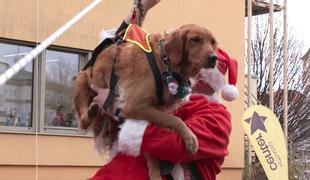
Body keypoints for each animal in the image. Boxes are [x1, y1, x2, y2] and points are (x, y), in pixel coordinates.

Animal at [74, 23, 217, 179]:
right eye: (195, 39)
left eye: (213, 42)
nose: (214, 57)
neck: (165, 64)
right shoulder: (135, 106)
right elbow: (175, 120)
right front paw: (190, 138)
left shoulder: (154, 111)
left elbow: (152, 146)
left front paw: (155, 172)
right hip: (82, 79)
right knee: (83, 120)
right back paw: (91, 112)